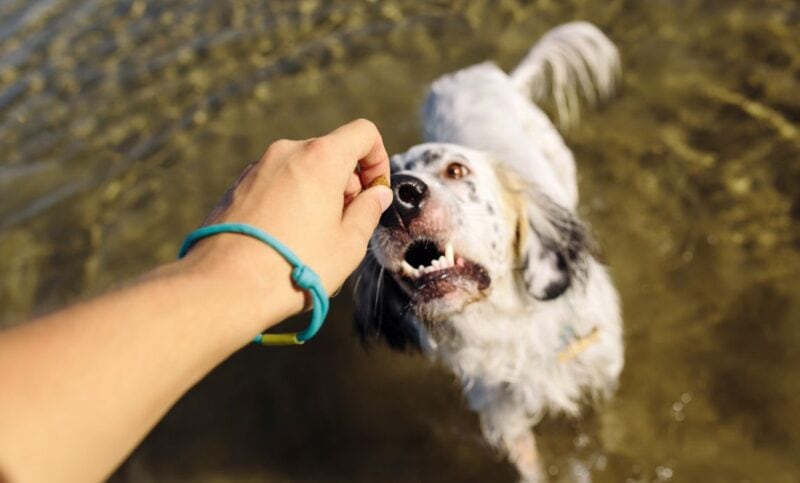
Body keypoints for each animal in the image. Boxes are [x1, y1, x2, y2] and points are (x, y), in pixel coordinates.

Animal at [354, 21, 624, 480]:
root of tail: (479, 74)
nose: (398, 198)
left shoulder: (600, 374)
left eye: (456, 169)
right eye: (378, 180)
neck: (510, 328)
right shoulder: (503, 415)